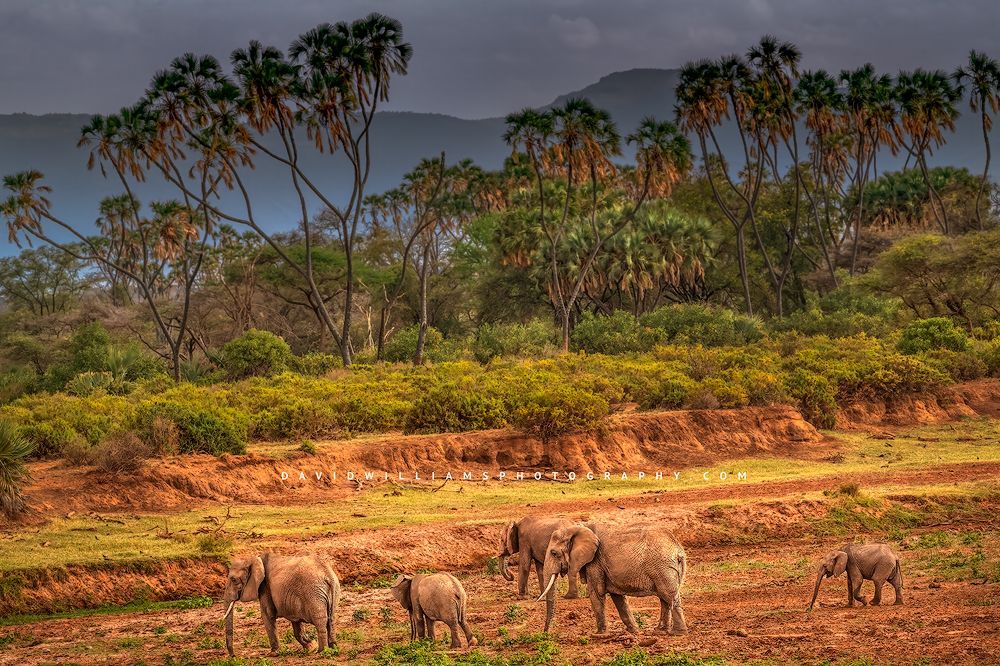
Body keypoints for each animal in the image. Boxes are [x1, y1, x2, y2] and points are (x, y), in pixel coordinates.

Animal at [538, 522, 687, 636]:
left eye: (554, 553)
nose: (545, 634)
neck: (578, 527)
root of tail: (678, 549)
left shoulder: (595, 562)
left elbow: (596, 592)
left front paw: (599, 635)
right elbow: (618, 597)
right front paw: (634, 631)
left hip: (663, 567)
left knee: (669, 596)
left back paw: (678, 633)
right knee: (665, 598)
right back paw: (659, 631)